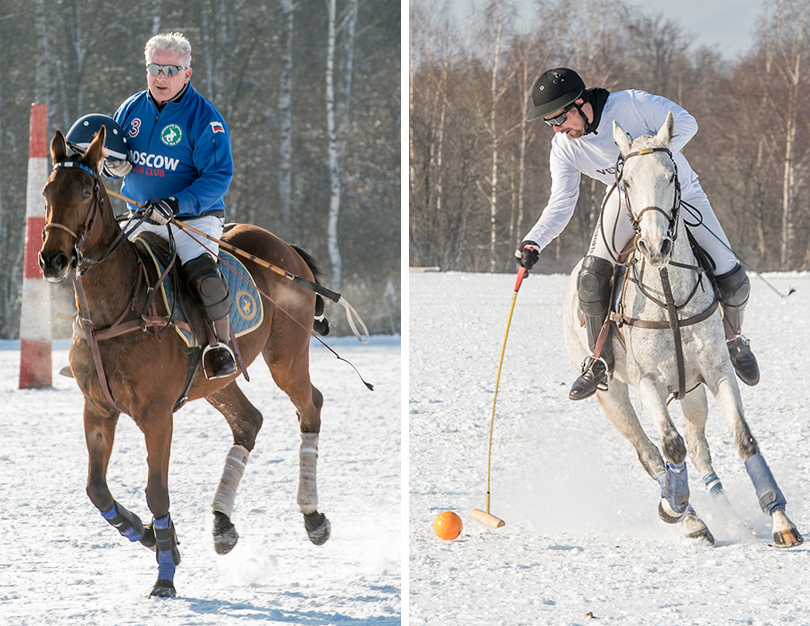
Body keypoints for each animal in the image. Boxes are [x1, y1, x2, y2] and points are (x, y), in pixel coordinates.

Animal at [39, 125, 330, 596]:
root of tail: (285, 246)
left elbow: (156, 490)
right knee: (248, 420)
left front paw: (165, 575)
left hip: (287, 355)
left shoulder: (157, 415)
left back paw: (313, 517)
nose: (53, 259)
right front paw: (157, 538)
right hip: (215, 381)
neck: (114, 308)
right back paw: (222, 524)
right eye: (48, 190)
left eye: (85, 191)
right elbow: (97, 490)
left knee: (310, 406)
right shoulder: (97, 409)